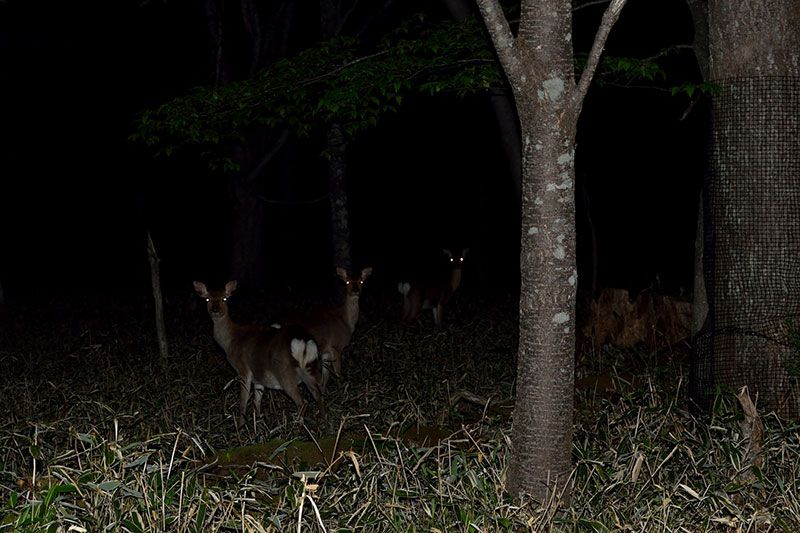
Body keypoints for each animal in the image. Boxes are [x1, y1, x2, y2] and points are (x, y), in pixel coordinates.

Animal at [192, 278, 324, 428]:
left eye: (224, 298)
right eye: (207, 299)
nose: (215, 310)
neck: (230, 342)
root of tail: (303, 340)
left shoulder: (243, 369)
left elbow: (243, 401)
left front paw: (241, 426)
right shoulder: (259, 377)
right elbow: (257, 402)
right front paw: (259, 423)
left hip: (285, 372)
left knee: (302, 402)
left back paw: (298, 427)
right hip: (312, 369)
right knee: (319, 395)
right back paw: (323, 423)